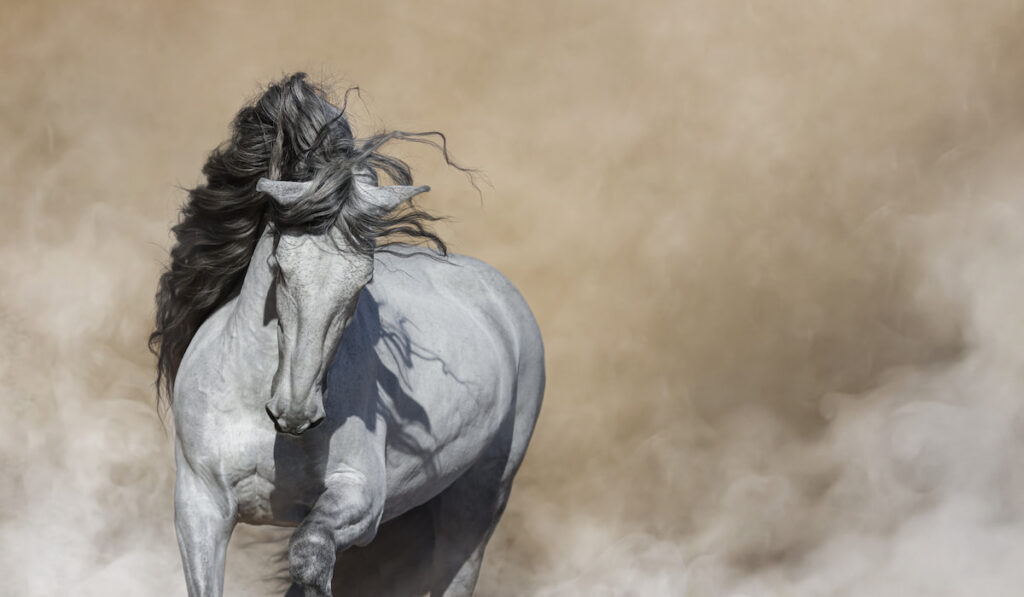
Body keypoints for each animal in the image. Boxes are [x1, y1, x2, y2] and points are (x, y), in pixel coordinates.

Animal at [149, 74, 544, 597]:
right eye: (279, 267)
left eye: (363, 281)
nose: (296, 413)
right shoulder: (199, 506)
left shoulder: (361, 498)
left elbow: (309, 554)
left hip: (477, 500)